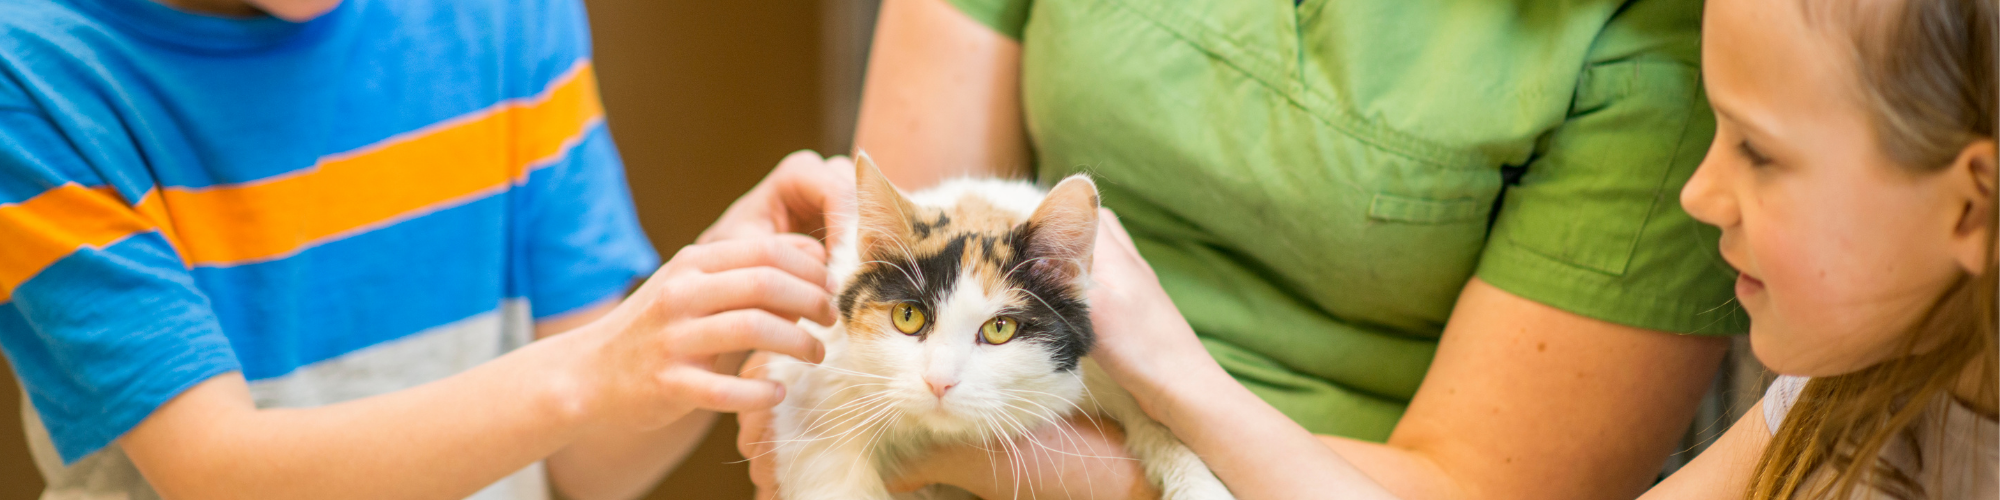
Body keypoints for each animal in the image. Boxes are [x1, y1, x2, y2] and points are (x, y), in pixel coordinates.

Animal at [764, 155, 1232, 500]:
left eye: (999, 328)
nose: (939, 382)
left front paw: (1199, 485)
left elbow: (1161, 425)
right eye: (908, 316)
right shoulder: (819, 396)